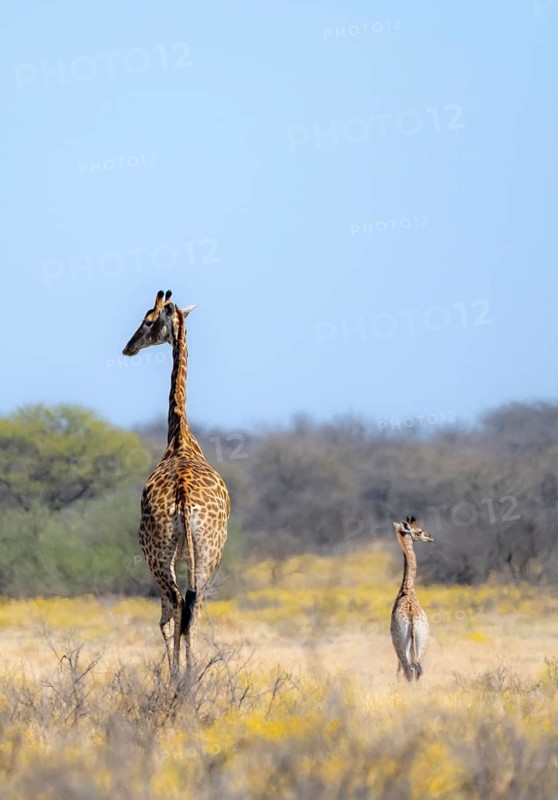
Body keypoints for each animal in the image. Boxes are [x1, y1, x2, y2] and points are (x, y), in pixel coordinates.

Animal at [122, 289, 230, 674]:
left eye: (149, 320)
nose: (128, 347)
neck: (180, 437)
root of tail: (182, 496)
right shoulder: (192, 553)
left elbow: (168, 614)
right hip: (208, 550)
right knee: (191, 604)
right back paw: (190, 676)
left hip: (156, 548)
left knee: (174, 604)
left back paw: (178, 677)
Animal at [390, 516, 433, 682]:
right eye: (419, 531)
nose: (430, 537)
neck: (407, 589)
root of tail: (411, 618)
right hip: (420, 642)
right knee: (415, 669)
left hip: (403, 644)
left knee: (409, 669)